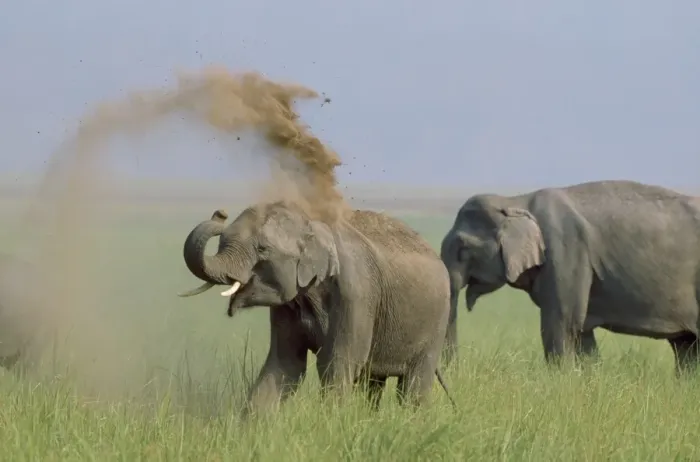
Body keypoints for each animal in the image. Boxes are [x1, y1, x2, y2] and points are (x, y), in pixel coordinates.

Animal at [178, 202, 456, 415]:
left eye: (262, 249)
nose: (220, 214)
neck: (311, 222)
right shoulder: (289, 304)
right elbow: (285, 363)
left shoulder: (357, 294)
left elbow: (338, 363)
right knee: (373, 383)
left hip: (437, 321)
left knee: (413, 385)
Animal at [439, 179, 700, 372]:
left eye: (462, 248)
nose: (456, 371)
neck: (517, 200)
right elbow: (582, 331)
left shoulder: (566, 251)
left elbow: (563, 324)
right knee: (686, 347)